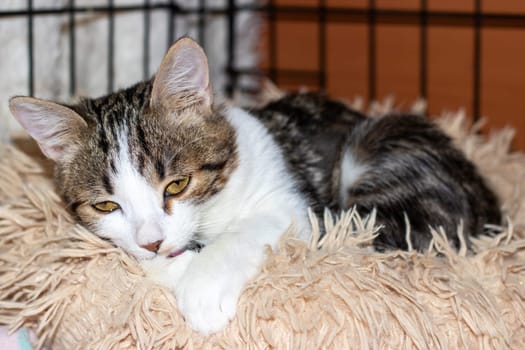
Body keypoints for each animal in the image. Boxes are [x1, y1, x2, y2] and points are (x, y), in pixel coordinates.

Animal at [7, 37, 500, 334]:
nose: (152, 242)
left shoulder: (297, 207)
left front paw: (203, 293)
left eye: (177, 185)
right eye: (107, 206)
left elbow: (247, 234)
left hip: (377, 153)